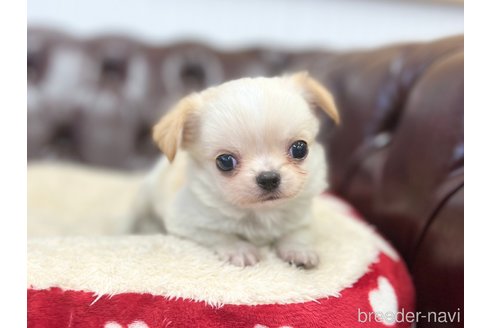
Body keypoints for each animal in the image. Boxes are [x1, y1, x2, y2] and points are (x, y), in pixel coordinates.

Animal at [133, 72, 340, 270]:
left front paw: (299, 251)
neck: (262, 213)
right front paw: (240, 250)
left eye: (299, 149)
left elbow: (298, 232)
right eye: (225, 162)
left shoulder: (303, 218)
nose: (268, 178)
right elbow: (221, 235)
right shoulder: (187, 223)